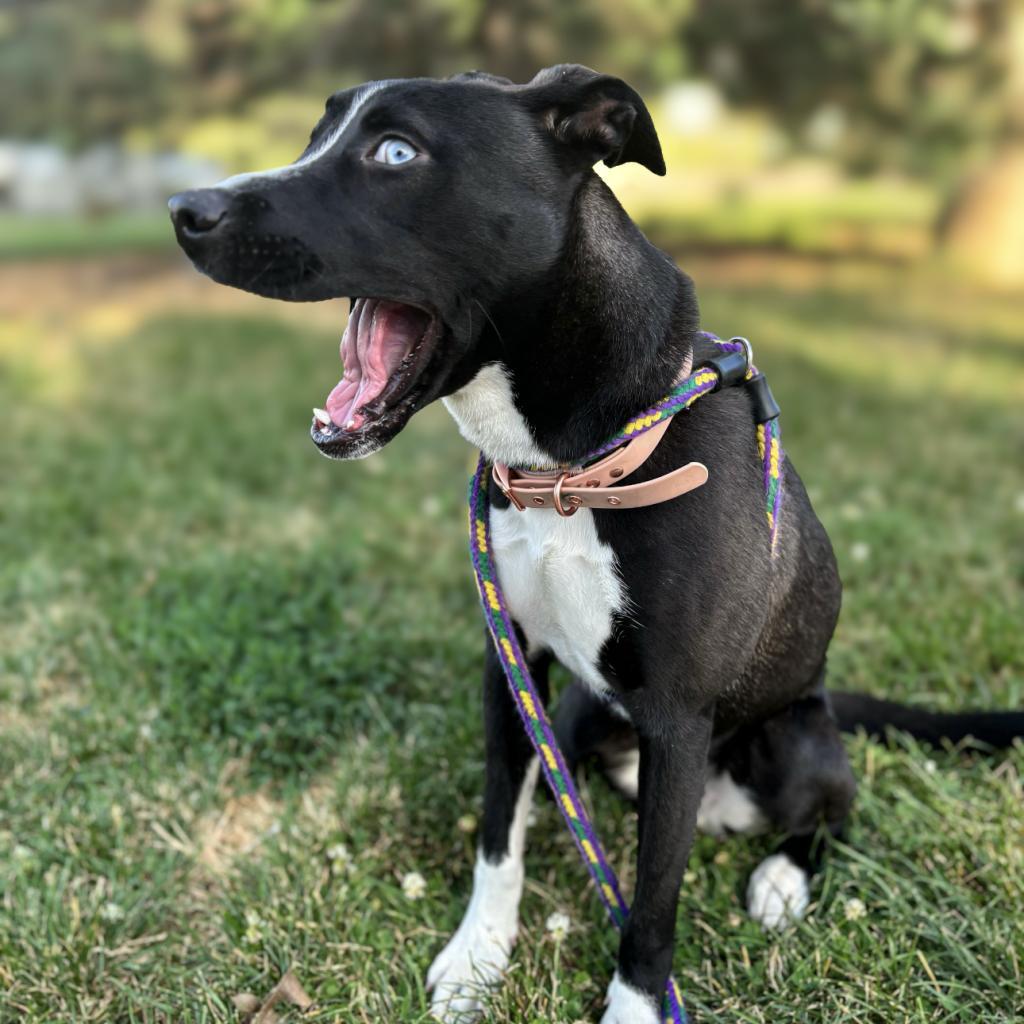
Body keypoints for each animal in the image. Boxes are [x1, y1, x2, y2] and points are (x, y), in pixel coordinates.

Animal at [169, 66, 1024, 1024]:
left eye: (395, 151)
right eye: (318, 134)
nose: (185, 210)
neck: (568, 473)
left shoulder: (678, 722)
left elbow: (650, 903)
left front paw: (635, 1004)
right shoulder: (513, 670)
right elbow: (498, 833)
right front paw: (479, 958)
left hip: (791, 741)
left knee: (833, 814)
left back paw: (781, 879)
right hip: (581, 718)